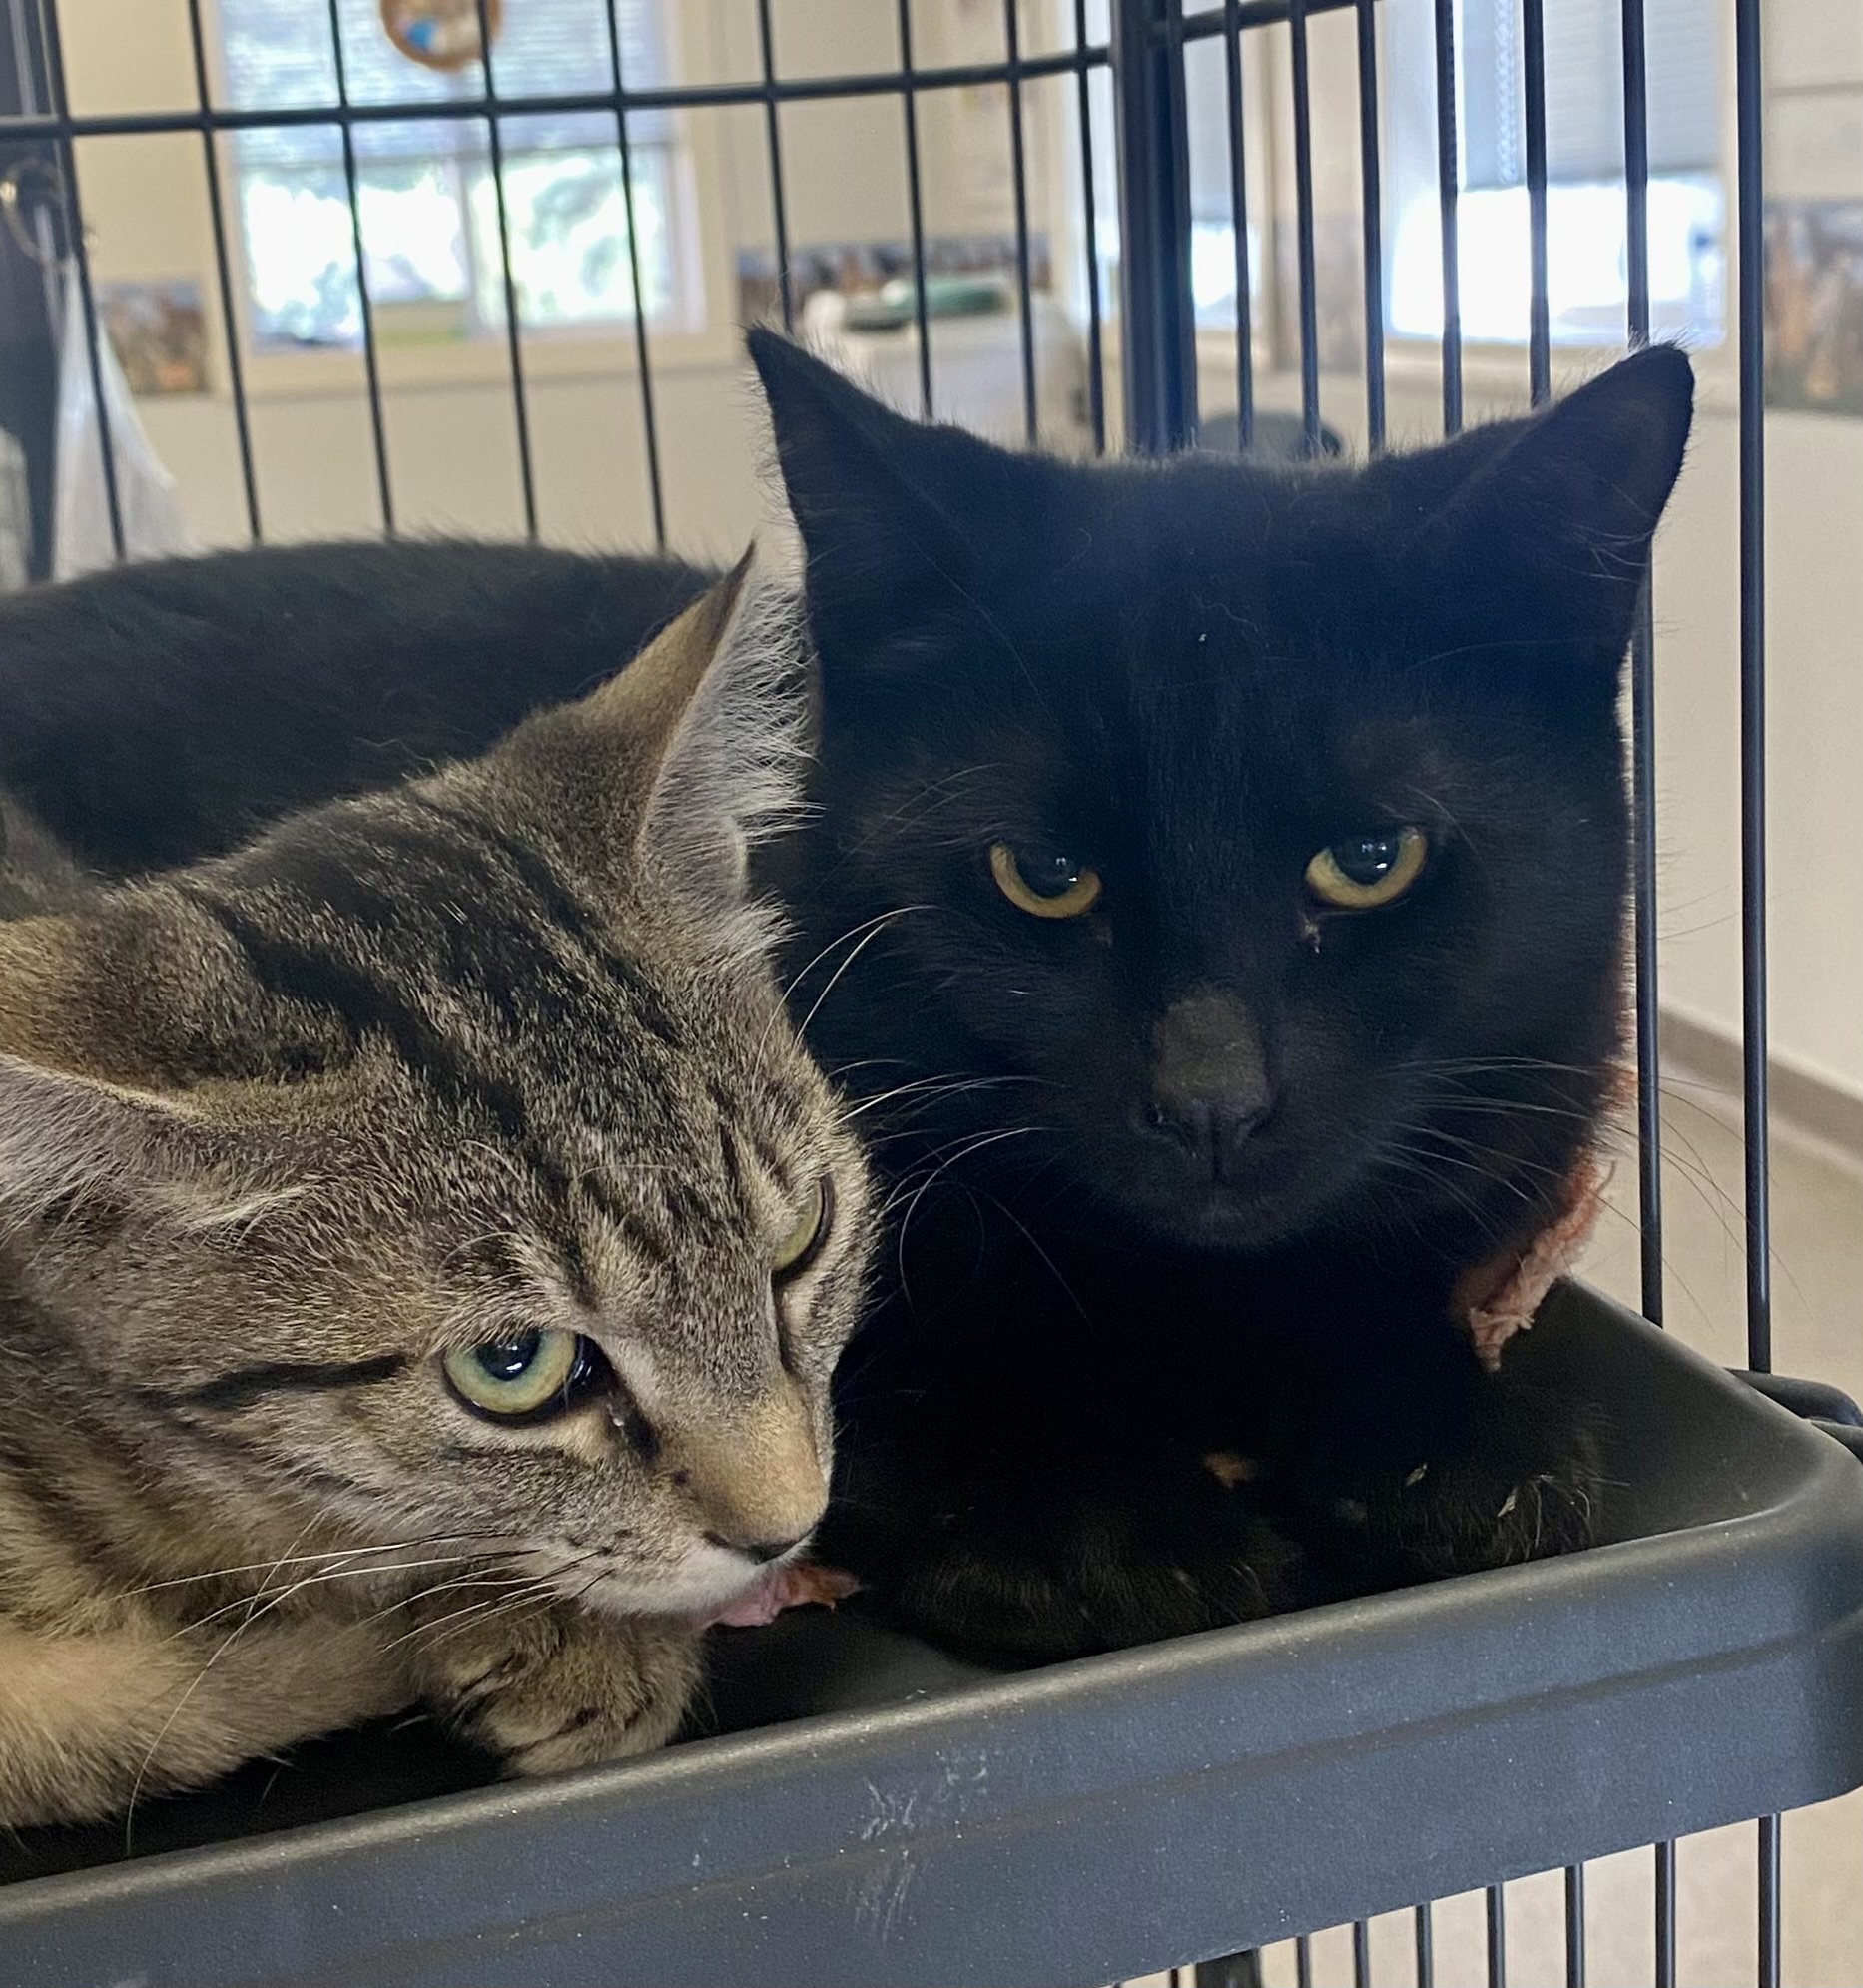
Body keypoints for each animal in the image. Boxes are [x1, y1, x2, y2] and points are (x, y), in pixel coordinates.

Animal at [0, 337, 1693, 1661]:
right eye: (1038, 872)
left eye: (1369, 859)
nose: (1210, 1096)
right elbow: (868, 1401)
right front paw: (1092, 1523)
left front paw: (1451, 1433)